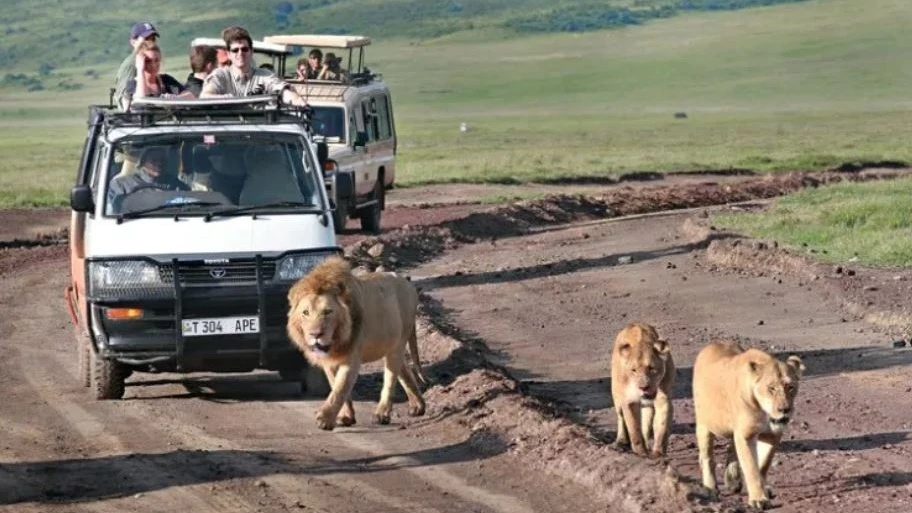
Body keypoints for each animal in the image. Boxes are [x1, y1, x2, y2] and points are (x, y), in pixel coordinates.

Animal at [286, 255, 426, 428]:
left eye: (328, 312)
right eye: (305, 312)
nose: (315, 334)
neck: (336, 341)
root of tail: (409, 284)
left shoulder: (351, 358)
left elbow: (340, 388)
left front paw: (324, 419)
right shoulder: (329, 362)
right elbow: (336, 385)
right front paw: (346, 417)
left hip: (399, 342)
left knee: (390, 377)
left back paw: (381, 414)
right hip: (390, 346)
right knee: (403, 370)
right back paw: (418, 406)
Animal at [692, 340, 804, 508]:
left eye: (791, 387)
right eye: (771, 388)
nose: (785, 410)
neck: (764, 411)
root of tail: (713, 344)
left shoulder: (773, 434)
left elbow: (763, 464)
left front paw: (764, 489)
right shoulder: (746, 435)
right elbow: (751, 467)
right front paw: (759, 499)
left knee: (731, 448)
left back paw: (732, 480)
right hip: (704, 424)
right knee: (707, 457)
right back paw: (710, 488)